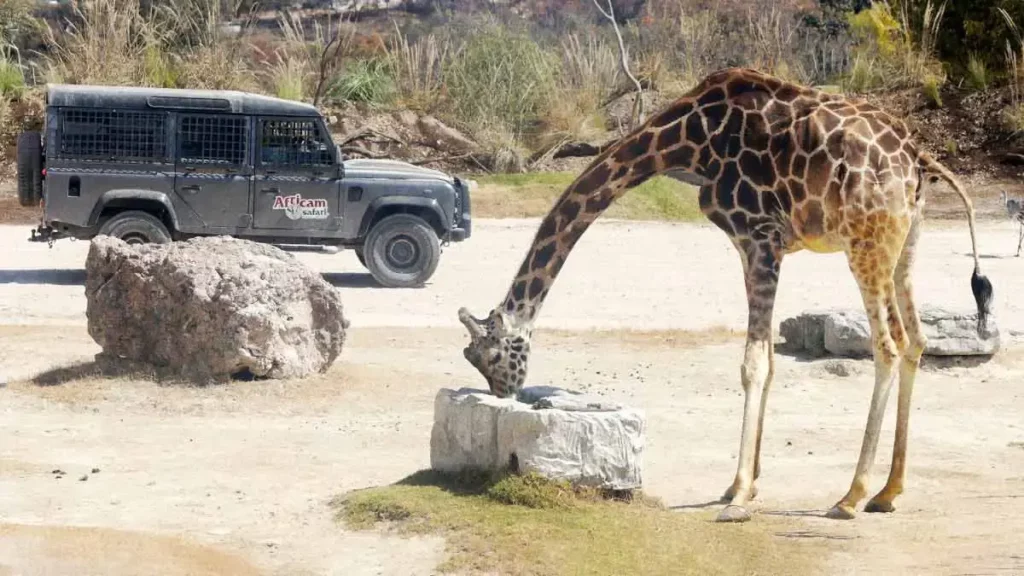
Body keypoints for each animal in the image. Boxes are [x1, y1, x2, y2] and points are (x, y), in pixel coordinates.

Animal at [457, 67, 993, 523]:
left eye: (489, 354)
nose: (503, 397)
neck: (686, 139)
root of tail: (917, 159)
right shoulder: (758, 244)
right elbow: (770, 360)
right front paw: (746, 485)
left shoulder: (758, 235)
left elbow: (752, 363)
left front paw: (736, 497)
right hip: (905, 241)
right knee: (917, 339)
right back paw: (888, 491)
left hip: (866, 243)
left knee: (888, 346)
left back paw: (851, 495)